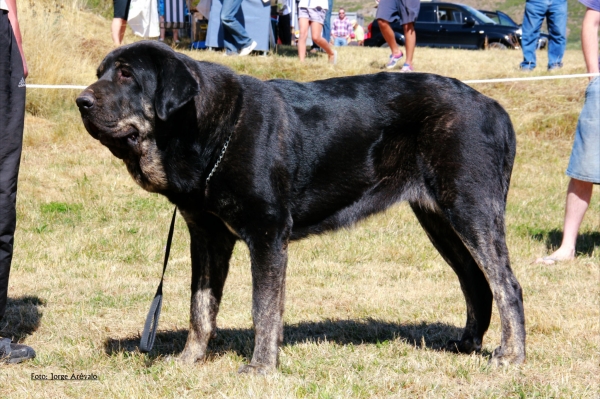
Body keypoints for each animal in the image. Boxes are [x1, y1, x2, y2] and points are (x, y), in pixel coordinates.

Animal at [78, 41, 524, 376]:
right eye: (101, 72)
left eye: (126, 75)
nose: (80, 100)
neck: (209, 131)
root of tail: (496, 107)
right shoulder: (207, 236)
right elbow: (201, 306)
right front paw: (190, 359)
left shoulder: (267, 232)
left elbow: (263, 307)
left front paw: (260, 368)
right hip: (438, 219)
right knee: (474, 280)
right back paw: (467, 344)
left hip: (470, 208)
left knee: (506, 284)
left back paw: (510, 355)